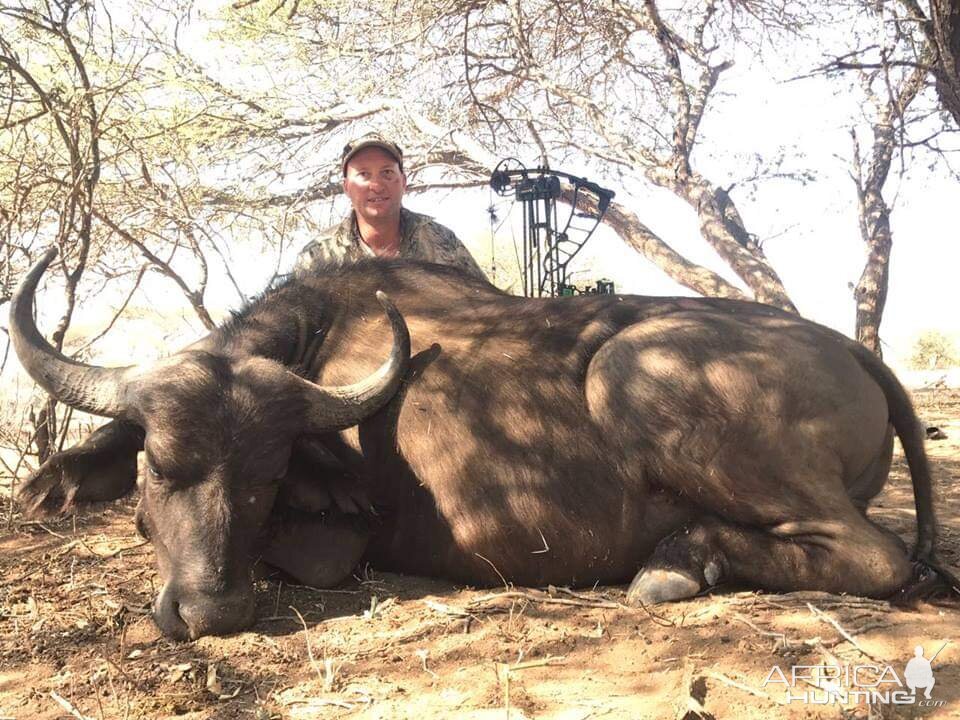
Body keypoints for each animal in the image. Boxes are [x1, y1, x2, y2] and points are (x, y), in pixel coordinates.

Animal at [11, 246, 940, 636]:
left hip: (630, 368)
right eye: (160, 465)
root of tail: (851, 348)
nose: (213, 612)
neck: (317, 338)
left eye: (266, 478)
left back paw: (680, 560)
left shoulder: (335, 546)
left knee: (879, 556)